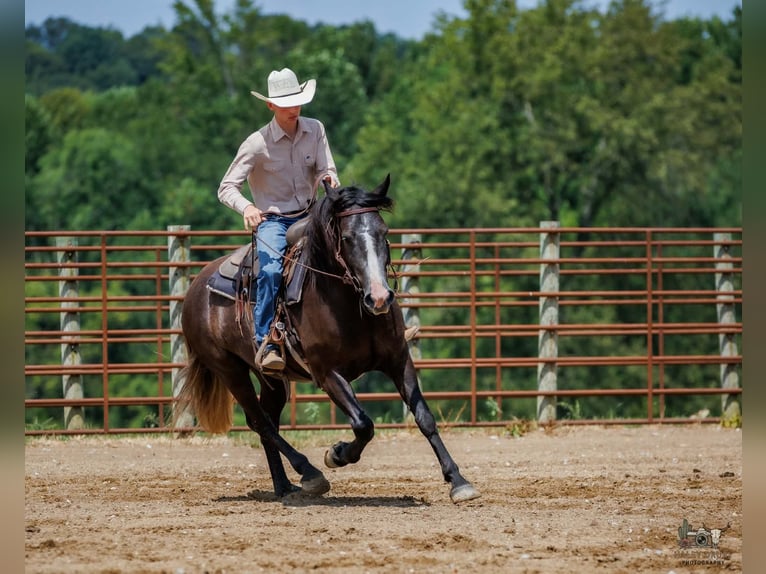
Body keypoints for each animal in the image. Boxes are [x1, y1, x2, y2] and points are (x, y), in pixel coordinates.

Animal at [176, 175, 480, 503]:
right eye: (346, 238)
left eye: (384, 232)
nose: (379, 298)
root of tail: (195, 288)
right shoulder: (327, 374)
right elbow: (363, 424)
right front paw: (336, 454)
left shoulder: (399, 360)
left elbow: (424, 416)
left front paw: (458, 481)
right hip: (229, 369)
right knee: (260, 421)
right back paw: (309, 473)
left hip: (271, 378)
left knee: (267, 419)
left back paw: (285, 486)